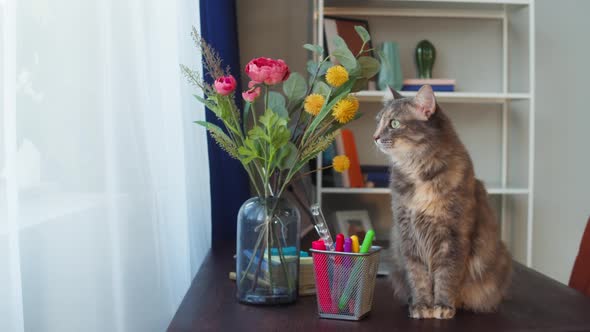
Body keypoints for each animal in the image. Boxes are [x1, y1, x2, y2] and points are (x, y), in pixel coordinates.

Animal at [376, 85, 516, 320]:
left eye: (394, 123)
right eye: (378, 121)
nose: (375, 137)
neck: (418, 171)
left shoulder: (453, 235)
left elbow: (446, 276)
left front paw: (442, 306)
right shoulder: (407, 235)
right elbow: (418, 277)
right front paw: (422, 305)